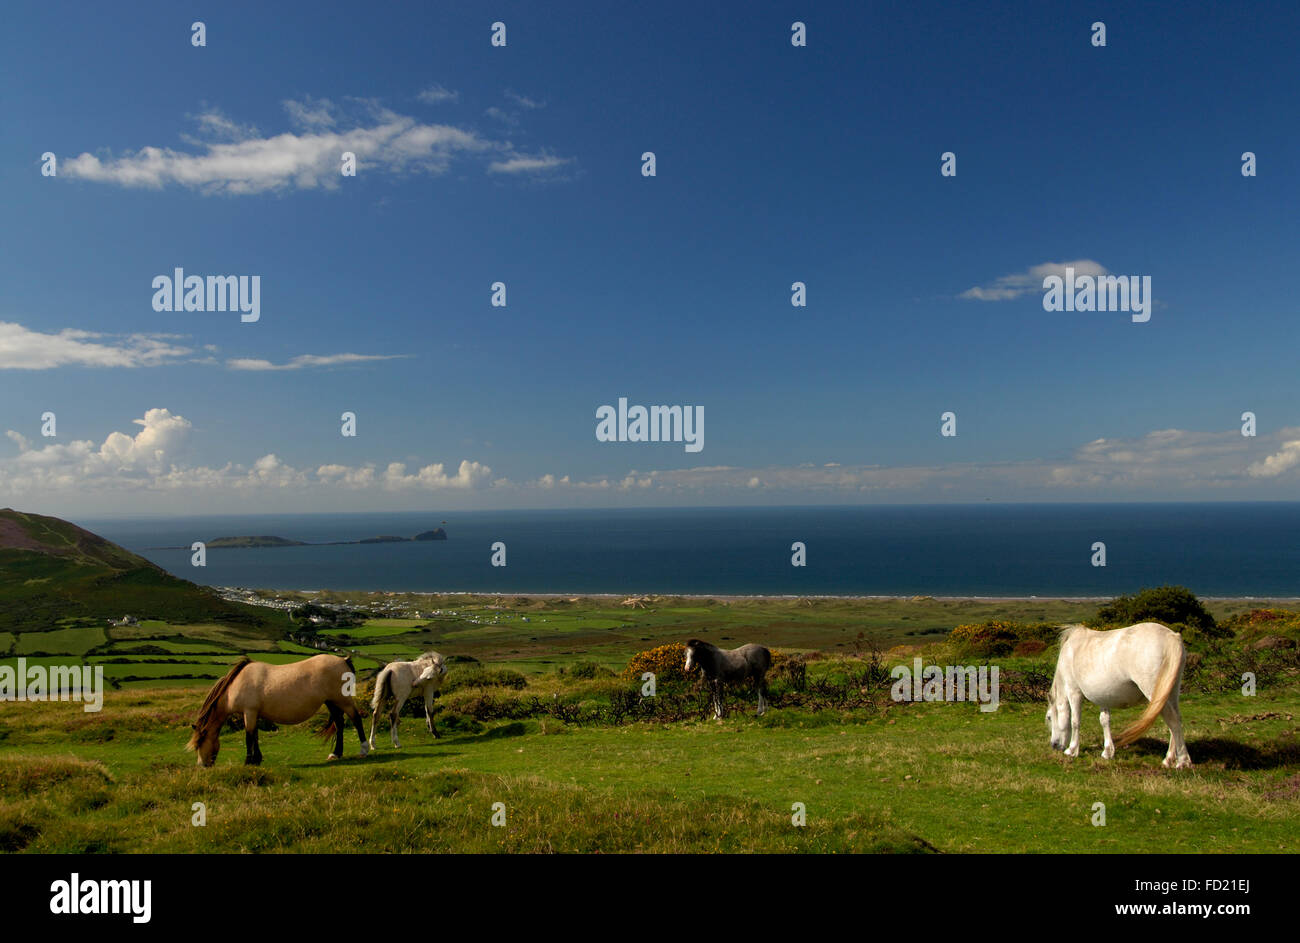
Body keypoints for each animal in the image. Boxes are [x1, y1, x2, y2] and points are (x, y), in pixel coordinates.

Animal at [183, 655, 369, 764]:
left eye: (199, 743)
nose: (202, 765)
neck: (235, 685)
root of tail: (344, 660)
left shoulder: (249, 712)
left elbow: (249, 737)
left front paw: (248, 761)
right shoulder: (254, 713)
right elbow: (255, 735)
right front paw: (257, 759)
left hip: (342, 700)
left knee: (356, 719)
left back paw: (364, 749)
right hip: (331, 702)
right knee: (339, 723)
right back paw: (336, 753)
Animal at [1050, 621, 1190, 770]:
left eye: (1049, 718)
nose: (1054, 745)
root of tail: (1171, 636)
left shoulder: (1073, 692)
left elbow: (1075, 721)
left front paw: (1072, 750)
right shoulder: (1103, 697)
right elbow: (1104, 721)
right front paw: (1107, 751)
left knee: (1173, 721)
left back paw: (1183, 761)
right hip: (1170, 692)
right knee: (1175, 720)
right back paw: (1169, 759)